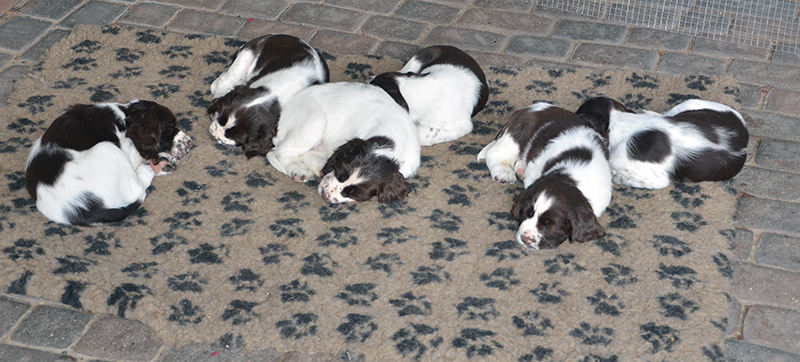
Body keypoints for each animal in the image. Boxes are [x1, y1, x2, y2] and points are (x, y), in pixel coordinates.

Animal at [25, 101, 193, 226]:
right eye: (169, 128)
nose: (190, 143)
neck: (126, 117)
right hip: (108, 148)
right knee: (138, 188)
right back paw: (151, 168)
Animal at [266, 81, 422, 204]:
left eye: (354, 194)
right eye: (339, 172)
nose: (325, 195)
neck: (390, 141)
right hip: (316, 119)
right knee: (281, 151)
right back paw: (298, 169)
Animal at [476, 102, 612, 249]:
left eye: (549, 224)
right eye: (528, 213)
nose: (525, 239)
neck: (568, 176)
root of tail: (532, 107)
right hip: (515, 137)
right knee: (495, 153)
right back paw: (504, 172)